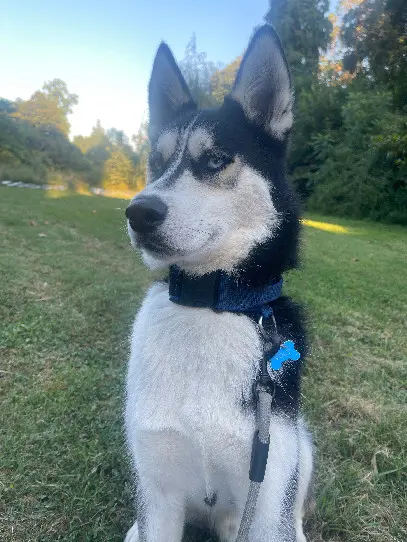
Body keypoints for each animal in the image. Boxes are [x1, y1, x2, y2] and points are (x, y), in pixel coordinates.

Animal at [126, 23, 314, 540]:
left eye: (213, 160)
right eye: (156, 162)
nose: (137, 212)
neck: (207, 304)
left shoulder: (267, 491)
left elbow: (280, 508)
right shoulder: (159, 489)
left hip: (300, 447)